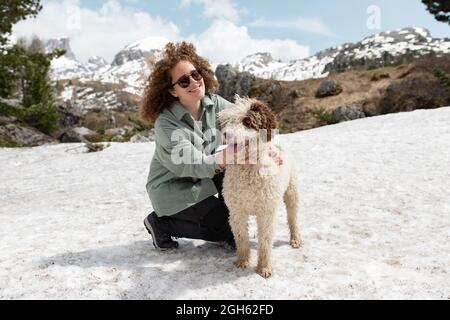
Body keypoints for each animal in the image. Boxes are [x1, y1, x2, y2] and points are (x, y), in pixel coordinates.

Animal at [218, 95, 302, 278]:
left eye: (247, 121)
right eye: (227, 121)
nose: (226, 134)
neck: (248, 170)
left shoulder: (266, 211)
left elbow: (265, 241)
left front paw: (264, 268)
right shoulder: (237, 211)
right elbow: (241, 237)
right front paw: (242, 261)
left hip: (292, 190)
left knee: (292, 217)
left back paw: (295, 238)